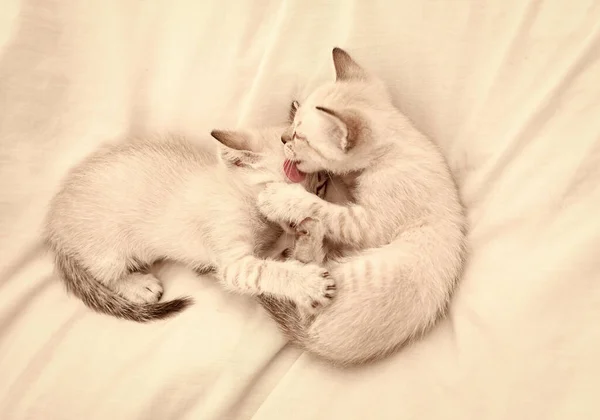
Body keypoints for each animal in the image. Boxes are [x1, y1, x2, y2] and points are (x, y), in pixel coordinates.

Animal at [45, 124, 338, 322]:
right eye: (283, 188)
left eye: (319, 187)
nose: (304, 210)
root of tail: (54, 222)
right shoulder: (232, 261)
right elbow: (264, 271)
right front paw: (308, 284)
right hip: (107, 252)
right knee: (104, 275)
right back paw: (138, 286)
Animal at [255, 48, 466, 364]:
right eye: (292, 129)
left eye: (299, 137)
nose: (283, 138)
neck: (395, 146)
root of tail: (312, 341)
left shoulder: (368, 226)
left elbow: (323, 209)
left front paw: (279, 198)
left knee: (308, 297)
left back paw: (308, 237)